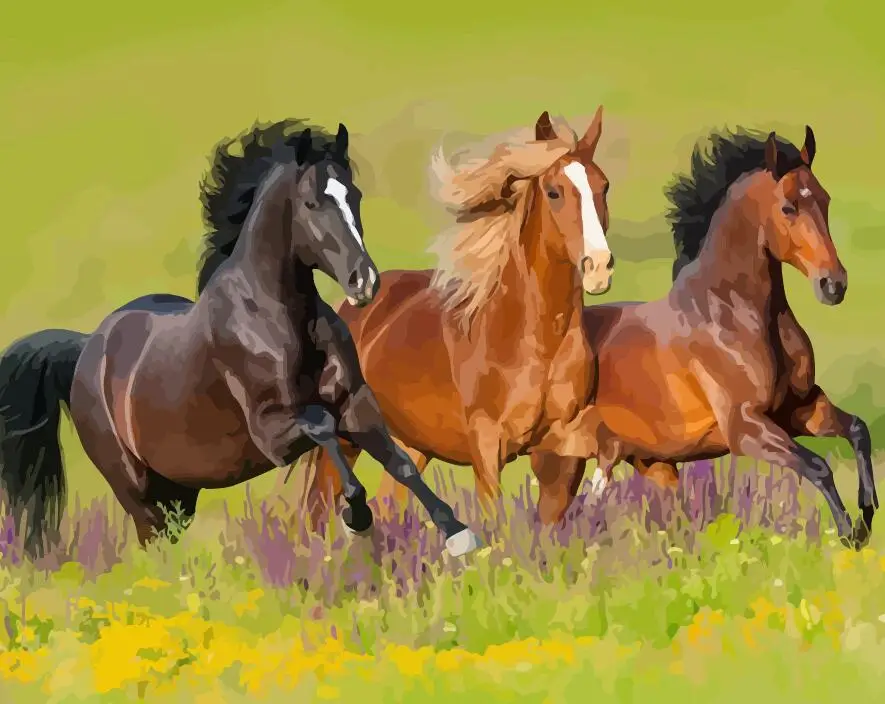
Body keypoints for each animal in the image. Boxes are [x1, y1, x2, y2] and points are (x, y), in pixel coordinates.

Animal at [0, 117, 478, 559]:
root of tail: (86, 349)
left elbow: (401, 463)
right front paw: (357, 517)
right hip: (137, 491)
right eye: (312, 202)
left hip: (180, 492)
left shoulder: (357, 403)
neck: (279, 318)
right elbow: (323, 428)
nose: (365, 282)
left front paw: (458, 533)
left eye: (354, 196)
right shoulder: (272, 432)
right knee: (153, 543)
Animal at [296, 108, 617, 527]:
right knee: (317, 512)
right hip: (347, 439)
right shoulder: (487, 446)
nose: (599, 267)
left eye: (604, 187)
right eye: (554, 192)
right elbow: (496, 520)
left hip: (410, 444)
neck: (534, 338)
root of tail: (348, 309)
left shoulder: (562, 445)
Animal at [527, 125, 877, 550]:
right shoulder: (746, 427)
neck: (732, 314)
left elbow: (858, 429)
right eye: (788, 207)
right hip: (561, 466)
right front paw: (850, 534)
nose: (833, 285)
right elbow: (818, 465)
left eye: (824, 200)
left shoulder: (800, 408)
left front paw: (868, 512)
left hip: (652, 465)